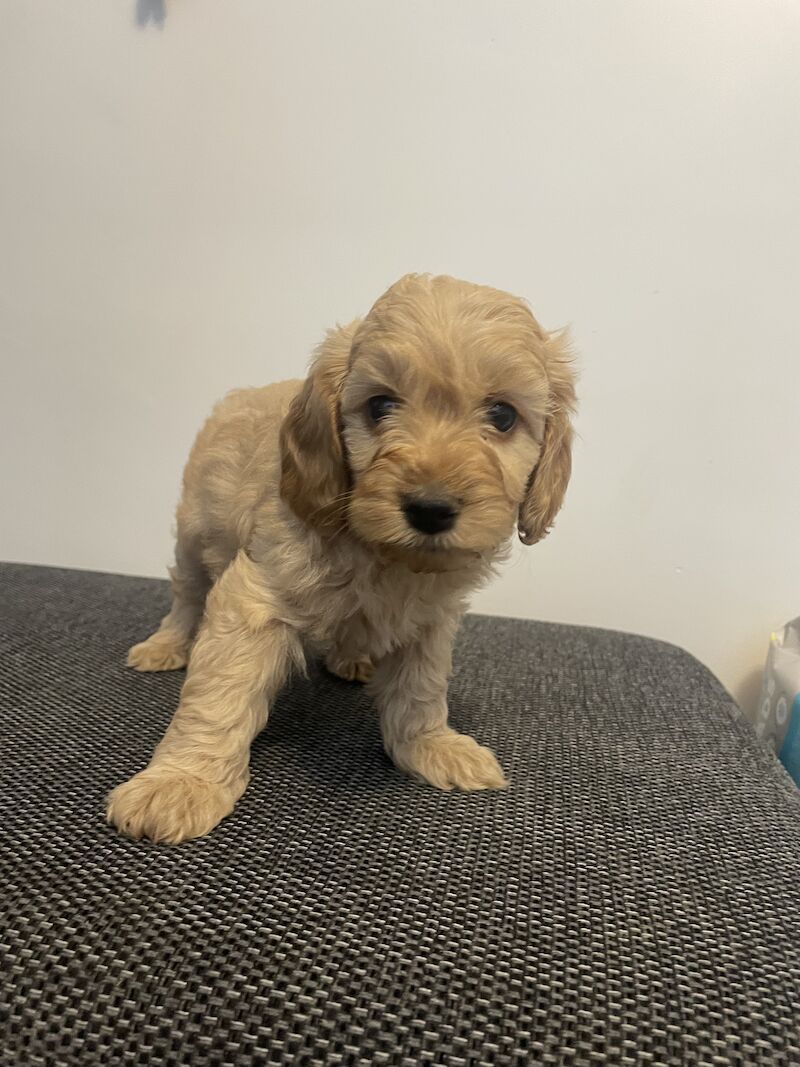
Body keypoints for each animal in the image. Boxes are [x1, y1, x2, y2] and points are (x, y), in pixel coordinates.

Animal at [109, 273, 580, 840]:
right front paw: (181, 782)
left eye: (503, 415)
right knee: (186, 595)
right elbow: (219, 695)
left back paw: (352, 659)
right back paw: (165, 646)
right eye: (379, 406)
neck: (384, 556)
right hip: (193, 533)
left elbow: (421, 688)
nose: (430, 508)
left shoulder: (432, 620)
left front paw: (431, 747)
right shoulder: (254, 597)